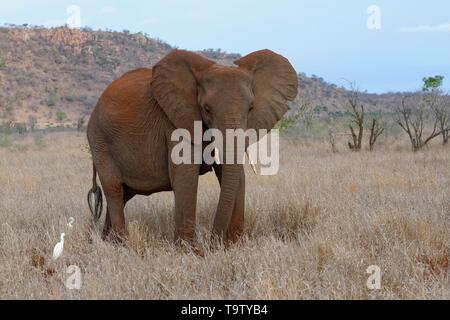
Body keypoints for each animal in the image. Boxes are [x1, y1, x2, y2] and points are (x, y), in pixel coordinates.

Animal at [87, 48, 298, 248]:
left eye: (251, 108)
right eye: (206, 109)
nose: (214, 243)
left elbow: (233, 174)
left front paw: (235, 247)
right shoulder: (176, 120)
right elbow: (185, 175)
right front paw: (190, 251)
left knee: (123, 195)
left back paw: (107, 242)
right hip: (100, 141)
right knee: (114, 189)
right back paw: (122, 245)